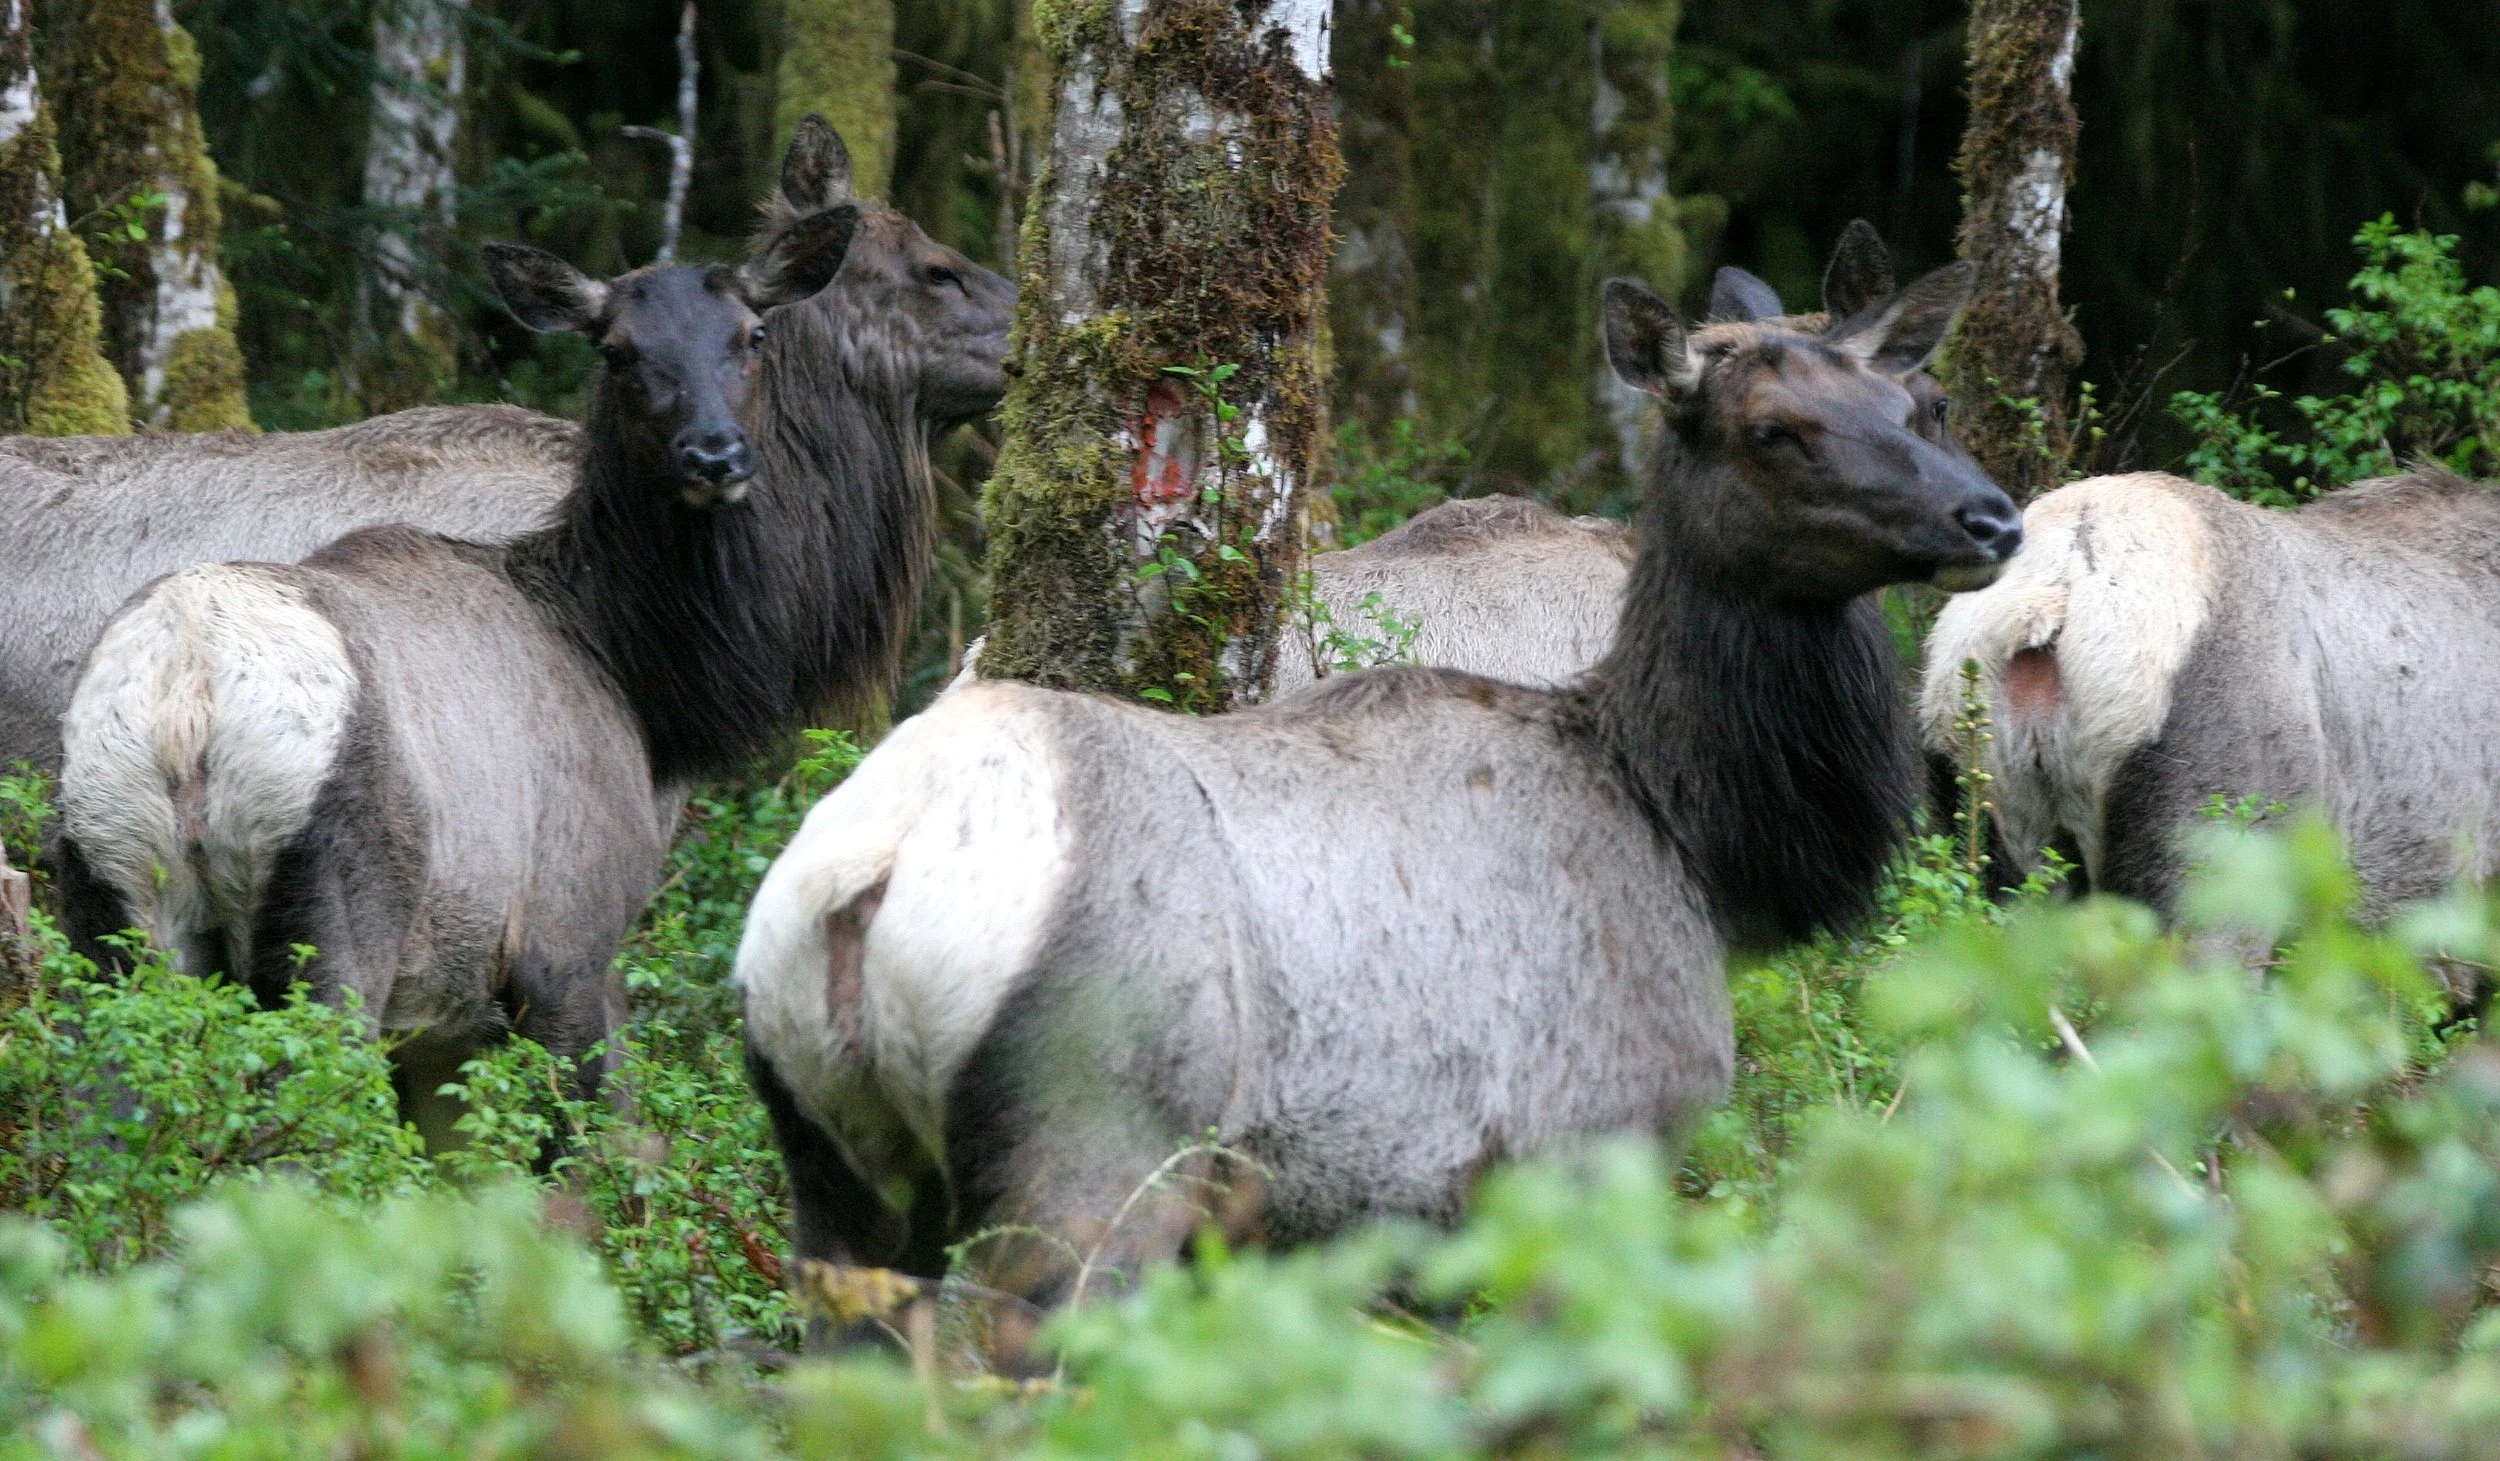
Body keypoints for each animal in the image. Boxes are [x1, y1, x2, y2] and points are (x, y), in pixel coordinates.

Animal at [51, 204, 954, 1136]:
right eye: (615, 349)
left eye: (752, 333)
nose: (713, 455)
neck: (626, 667)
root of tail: (187, 695)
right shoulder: (567, 941)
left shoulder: (438, 1018)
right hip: (331, 923)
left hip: (115, 904)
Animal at [733, 249, 2021, 1350]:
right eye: (1770, 429)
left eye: (1912, 406)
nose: (1993, 517)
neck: (1693, 835)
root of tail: (867, 883)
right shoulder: (1583, 1147)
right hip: (1089, 1166)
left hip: (836, 1174)